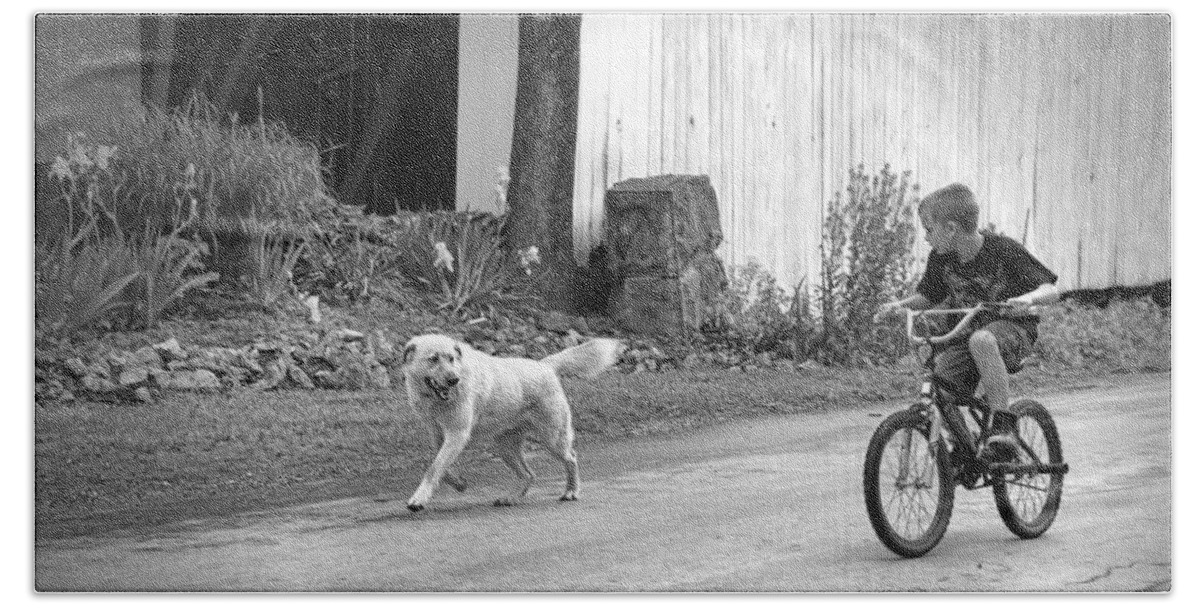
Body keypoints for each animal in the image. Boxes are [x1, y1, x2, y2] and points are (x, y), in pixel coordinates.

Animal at [398, 335, 624, 510]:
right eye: (433, 359)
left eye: (451, 359)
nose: (454, 380)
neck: (436, 400)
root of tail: (544, 365)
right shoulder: (438, 435)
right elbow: (439, 467)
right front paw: (460, 484)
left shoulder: (457, 434)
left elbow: (434, 468)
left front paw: (418, 500)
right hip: (505, 447)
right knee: (529, 474)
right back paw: (511, 498)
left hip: (552, 438)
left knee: (571, 459)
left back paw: (571, 492)